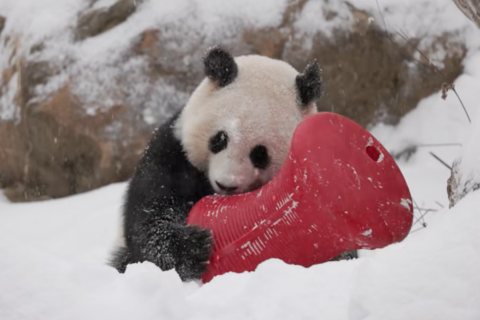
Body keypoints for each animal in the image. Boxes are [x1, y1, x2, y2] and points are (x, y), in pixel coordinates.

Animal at [109, 46, 324, 282]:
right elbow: (150, 214)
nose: (226, 185)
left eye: (260, 154)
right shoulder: (173, 153)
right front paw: (193, 247)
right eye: (219, 139)